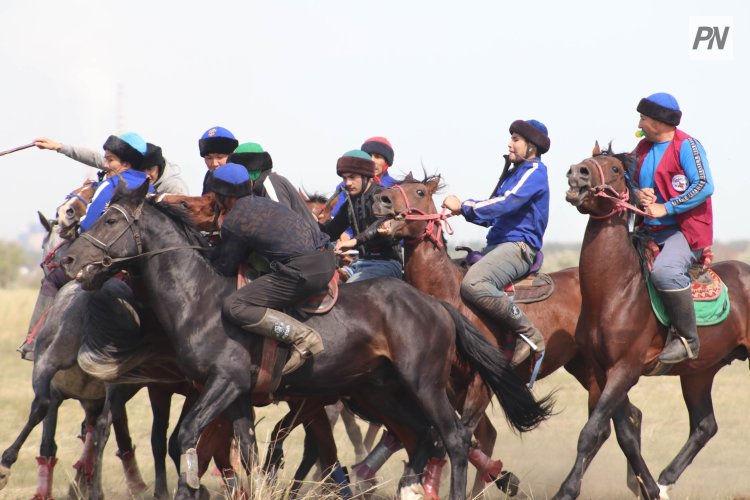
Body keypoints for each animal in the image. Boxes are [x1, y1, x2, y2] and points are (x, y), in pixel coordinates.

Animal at [61, 181, 552, 500]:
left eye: (109, 218)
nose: (69, 259)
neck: (199, 296)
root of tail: (434, 304)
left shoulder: (222, 384)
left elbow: (185, 439)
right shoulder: (236, 396)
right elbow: (246, 452)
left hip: (425, 384)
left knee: (452, 439)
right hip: (381, 390)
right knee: (421, 438)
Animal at [560, 143, 750, 498]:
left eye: (615, 168)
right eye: (588, 159)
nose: (577, 172)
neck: (614, 292)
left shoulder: (625, 369)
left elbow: (591, 432)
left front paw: (567, 489)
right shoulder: (602, 371)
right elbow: (625, 436)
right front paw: (650, 487)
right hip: (699, 372)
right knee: (705, 426)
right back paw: (665, 478)